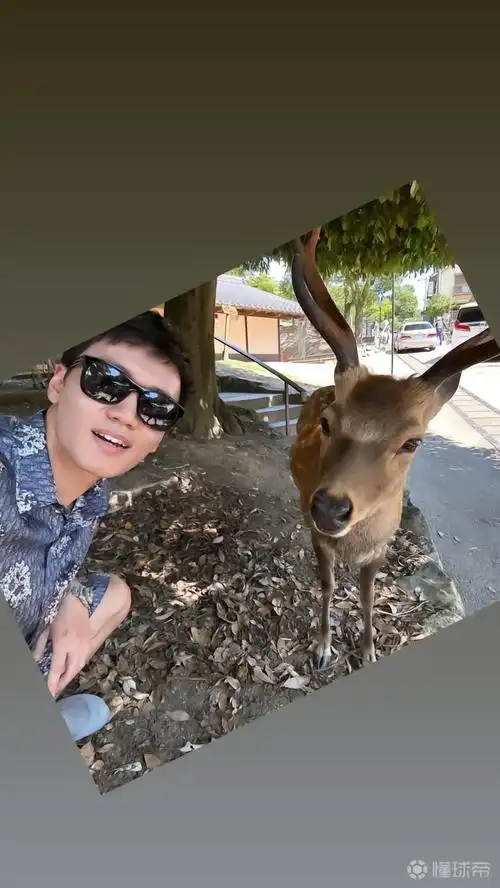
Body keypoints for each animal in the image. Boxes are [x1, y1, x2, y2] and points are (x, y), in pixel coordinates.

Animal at [289, 228, 500, 670]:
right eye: (328, 422)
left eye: (412, 441)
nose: (329, 508)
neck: (353, 544)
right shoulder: (319, 539)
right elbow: (327, 585)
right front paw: (322, 648)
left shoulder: (381, 547)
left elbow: (369, 597)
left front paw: (369, 650)